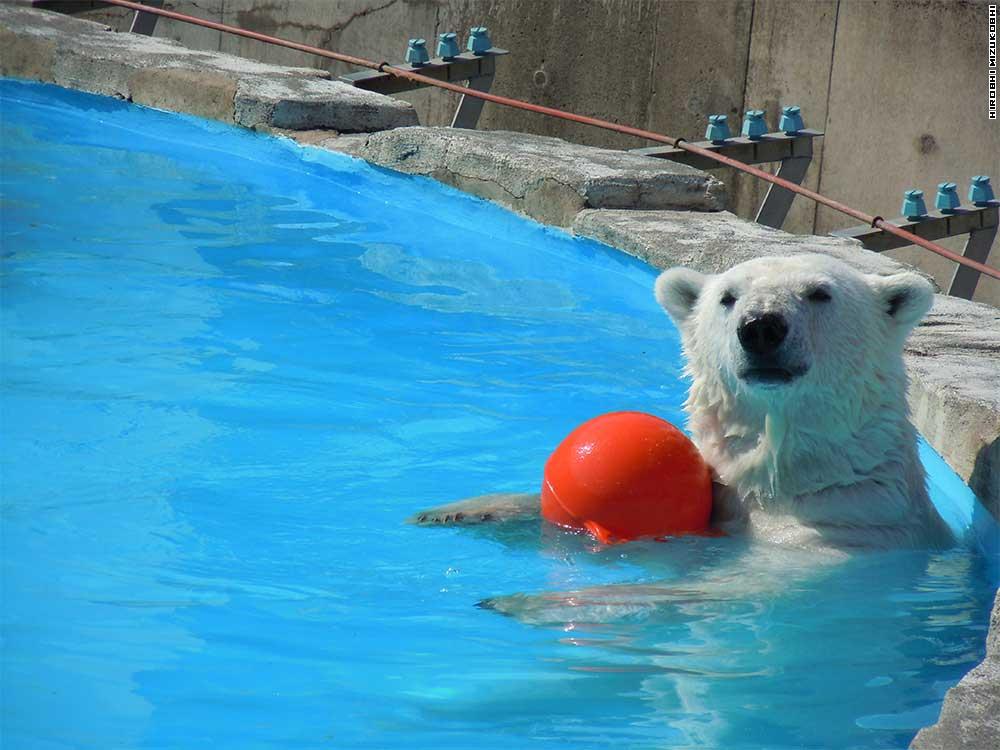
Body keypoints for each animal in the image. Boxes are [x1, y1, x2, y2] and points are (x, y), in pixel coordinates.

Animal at [412, 256, 952, 556]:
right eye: (727, 298)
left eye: (820, 293)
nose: (761, 327)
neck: (785, 476)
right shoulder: (720, 496)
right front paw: (454, 512)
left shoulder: (846, 529)